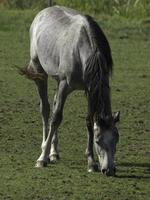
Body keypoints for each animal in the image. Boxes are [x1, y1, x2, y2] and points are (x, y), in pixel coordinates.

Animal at [20, 5, 119, 176]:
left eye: (116, 139)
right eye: (98, 140)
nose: (109, 170)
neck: (82, 50)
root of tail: (43, 12)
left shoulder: (90, 89)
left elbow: (88, 120)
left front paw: (91, 162)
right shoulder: (65, 85)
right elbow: (56, 118)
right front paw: (42, 158)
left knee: (53, 104)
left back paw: (54, 152)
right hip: (40, 72)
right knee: (46, 110)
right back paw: (45, 149)